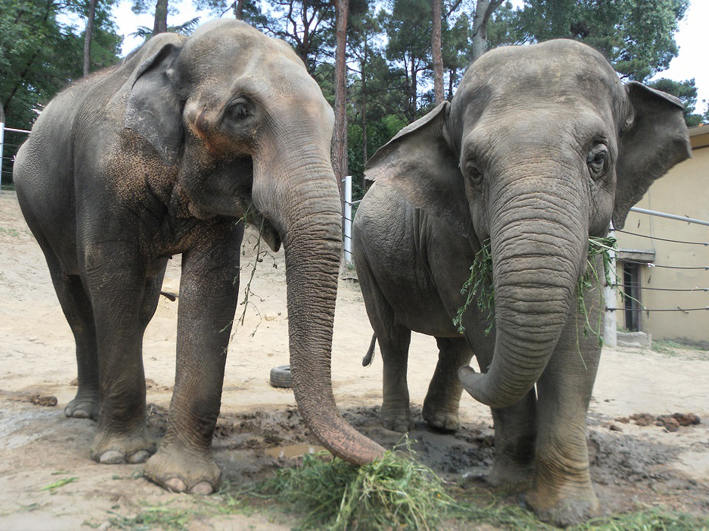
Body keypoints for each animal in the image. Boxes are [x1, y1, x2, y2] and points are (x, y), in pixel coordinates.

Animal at [13, 19, 384, 494]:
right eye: (240, 112)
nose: (393, 461)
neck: (179, 57)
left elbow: (212, 286)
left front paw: (183, 482)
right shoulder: (102, 174)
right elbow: (111, 272)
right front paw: (123, 457)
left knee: (143, 304)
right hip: (36, 211)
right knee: (77, 303)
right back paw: (87, 414)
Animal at [356, 39, 688, 524]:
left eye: (599, 159)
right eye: (473, 171)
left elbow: (579, 338)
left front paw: (567, 511)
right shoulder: (447, 232)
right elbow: (486, 324)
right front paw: (509, 485)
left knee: (453, 344)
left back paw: (444, 423)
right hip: (366, 256)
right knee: (394, 334)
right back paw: (398, 426)